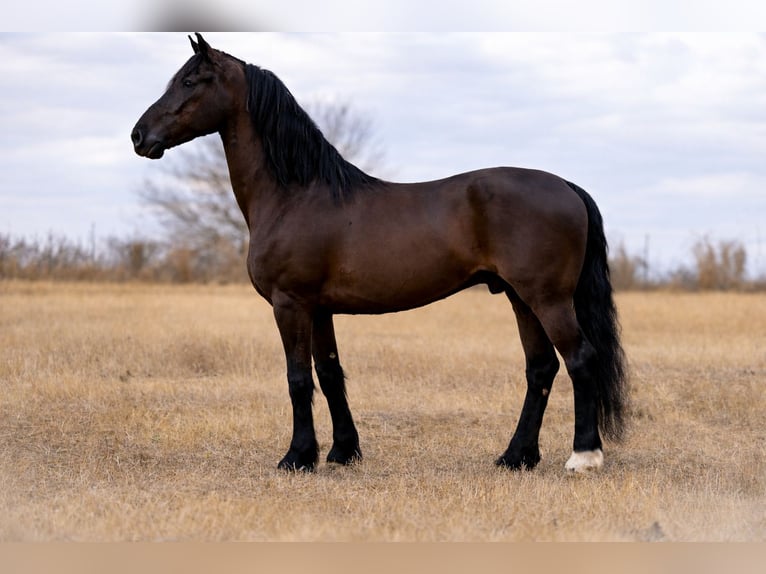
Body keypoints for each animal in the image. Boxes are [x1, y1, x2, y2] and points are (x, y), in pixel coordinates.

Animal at [132, 33, 628, 473]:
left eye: (190, 81)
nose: (139, 136)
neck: (296, 193)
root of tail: (566, 186)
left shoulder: (290, 303)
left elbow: (298, 378)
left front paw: (297, 458)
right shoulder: (319, 309)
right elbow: (330, 374)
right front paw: (342, 452)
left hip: (547, 299)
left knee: (580, 359)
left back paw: (583, 457)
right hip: (519, 297)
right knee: (541, 368)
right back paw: (515, 457)